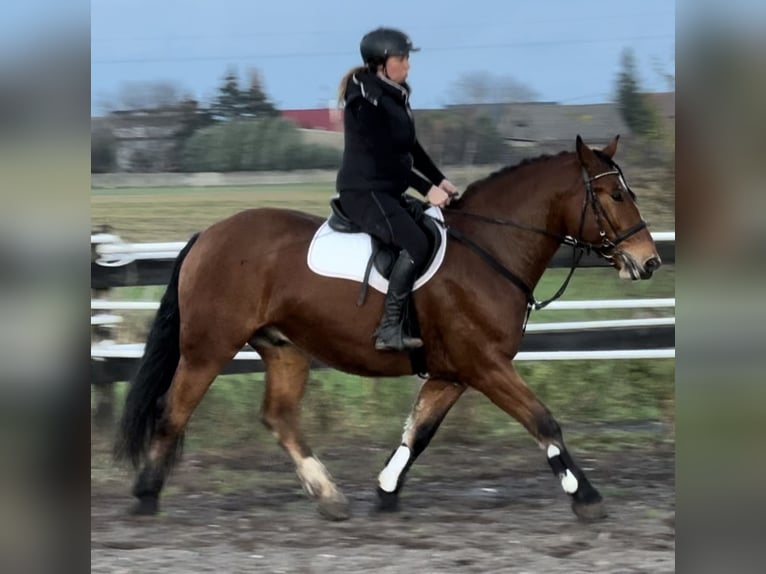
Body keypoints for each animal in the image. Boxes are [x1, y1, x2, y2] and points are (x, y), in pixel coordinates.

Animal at [115, 137, 664, 524]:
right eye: (615, 195)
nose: (649, 262)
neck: (490, 248)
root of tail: (207, 235)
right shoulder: (486, 366)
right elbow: (543, 421)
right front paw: (587, 498)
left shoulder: (453, 373)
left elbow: (417, 433)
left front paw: (385, 491)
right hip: (208, 348)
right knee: (173, 410)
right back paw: (144, 497)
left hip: (284, 349)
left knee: (279, 417)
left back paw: (330, 497)